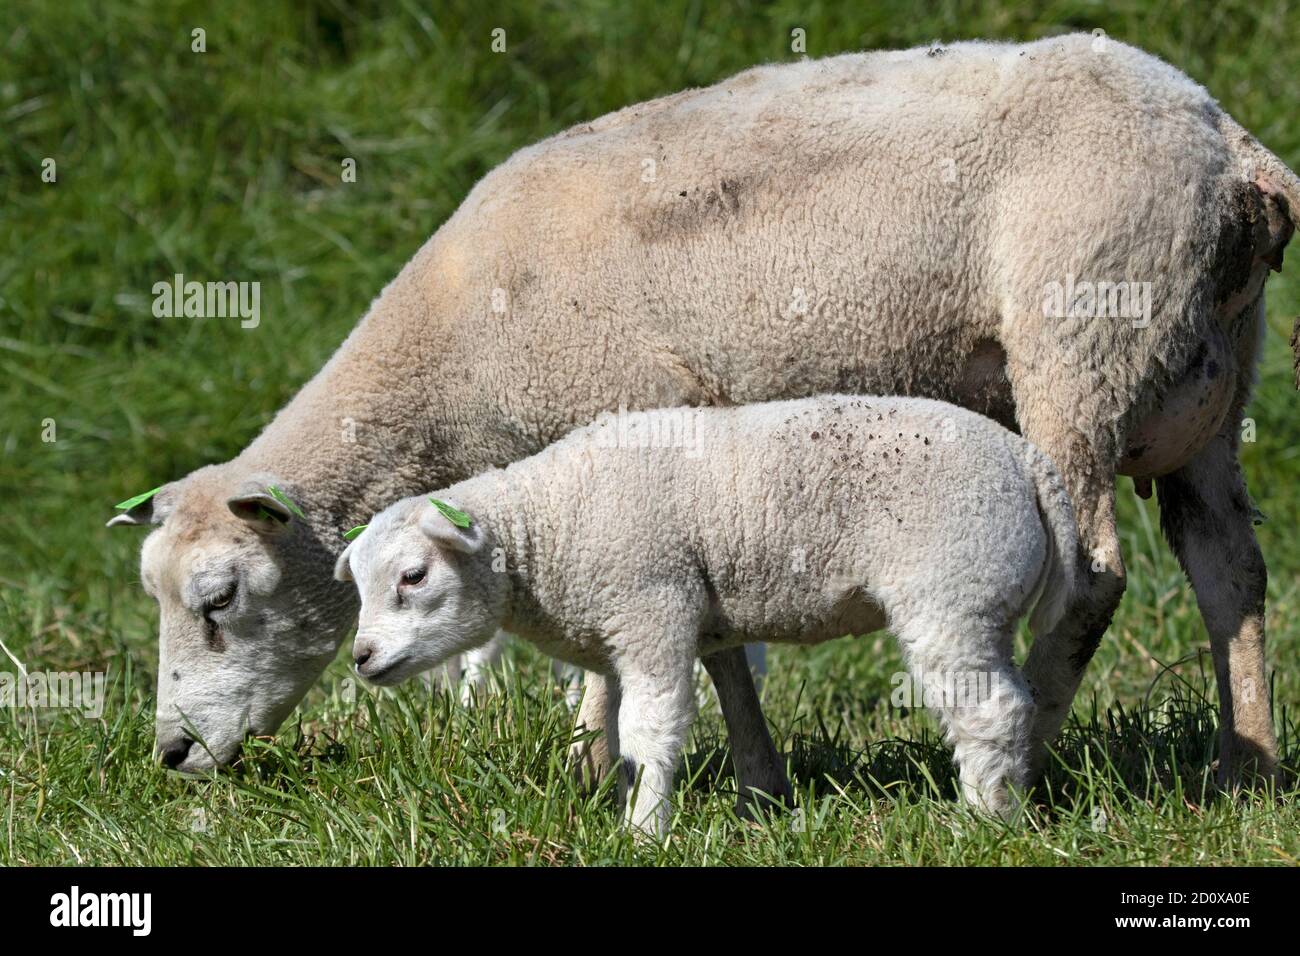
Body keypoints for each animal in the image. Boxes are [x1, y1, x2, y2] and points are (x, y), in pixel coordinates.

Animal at [335, 396, 1079, 834]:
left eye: (413, 576)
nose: (362, 658)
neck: (547, 524)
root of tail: (1028, 460)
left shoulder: (651, 606)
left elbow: (649, 730)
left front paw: (644, 831)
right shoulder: (677, 622)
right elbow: (714, 712)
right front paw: (753, 804)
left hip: (951, 590)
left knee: (989, 711)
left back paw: (986, 822)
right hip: (980, 601)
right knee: (1014, 702)